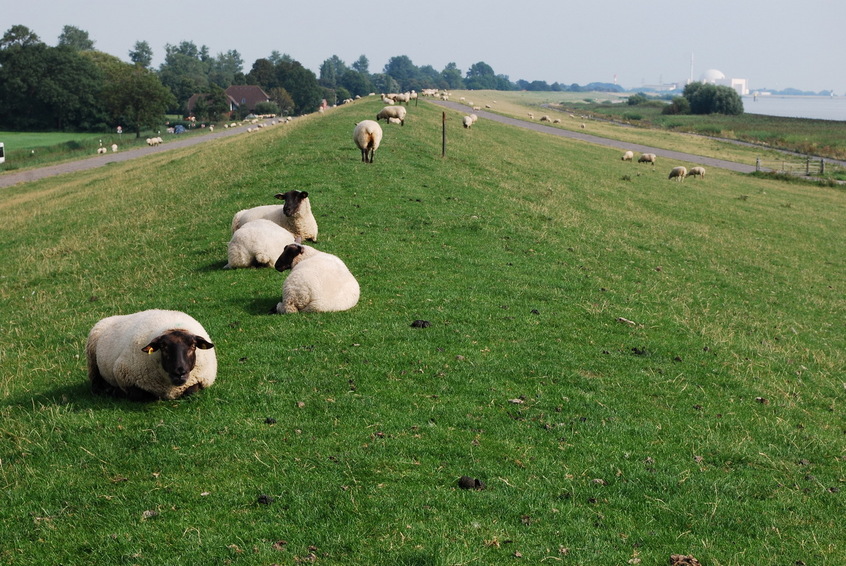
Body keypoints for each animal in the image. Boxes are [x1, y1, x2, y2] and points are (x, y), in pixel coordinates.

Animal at [85, 310, 217, 404]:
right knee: (96, 386)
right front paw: (117, 392)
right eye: (163, 347)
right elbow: (139, 394)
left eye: (193, 346)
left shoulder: (202, 380)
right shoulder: (124, 376)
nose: (179, 372)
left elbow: (191, 390)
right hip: (93, 364)